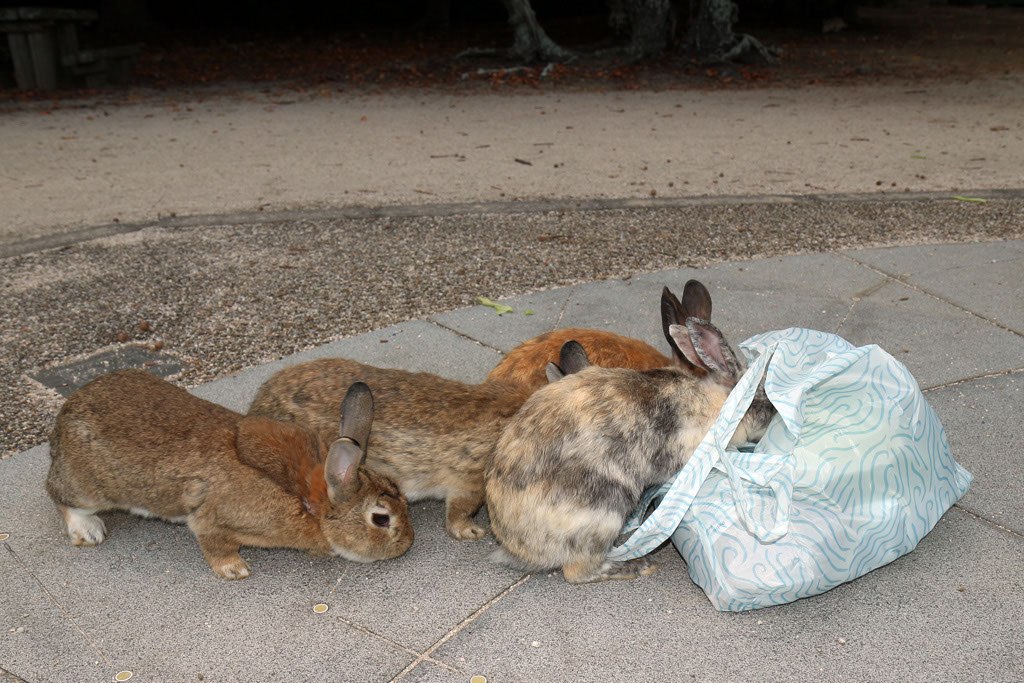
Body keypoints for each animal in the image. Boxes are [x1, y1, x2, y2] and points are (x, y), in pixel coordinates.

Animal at [45, 370, 413, 580]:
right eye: (381, 519)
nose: (407, 544)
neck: (307, 498)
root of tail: (64, 417)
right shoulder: (212, 520)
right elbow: (214, 544)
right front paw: (235, 571)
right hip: (88, 488)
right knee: (58, 496)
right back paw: (89, 531)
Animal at [485, 280, 777, 584]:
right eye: (765, 398)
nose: (775, 415)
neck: (723, 404)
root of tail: (517, 545)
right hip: (607, 508)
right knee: (578, 571)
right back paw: (637, 565)